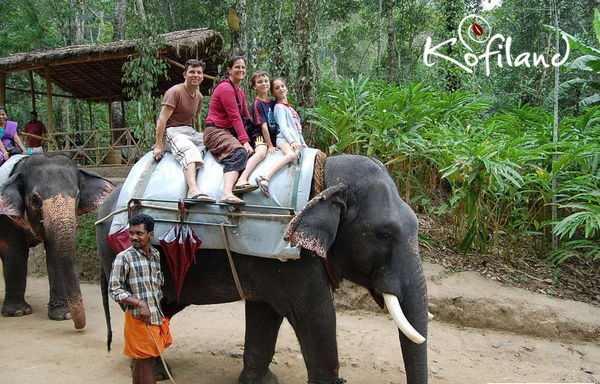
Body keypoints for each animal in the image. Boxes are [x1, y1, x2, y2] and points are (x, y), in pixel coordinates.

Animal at [0, 154, 114, 328]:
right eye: (35, 200)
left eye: (77, 197)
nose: (77, 326)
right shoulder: (8, 219)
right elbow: (15, 251)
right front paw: (18, 312)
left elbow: (54, 253)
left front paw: (63, 314)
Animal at [96, 154, 428, 384]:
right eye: (384, 234)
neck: (327, 177)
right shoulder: (292, 255)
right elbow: (315, 314)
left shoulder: (269, 264)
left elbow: (266, 311)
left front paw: (261, 381)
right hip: (119, 252)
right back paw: (155, 372)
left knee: (165, 306)